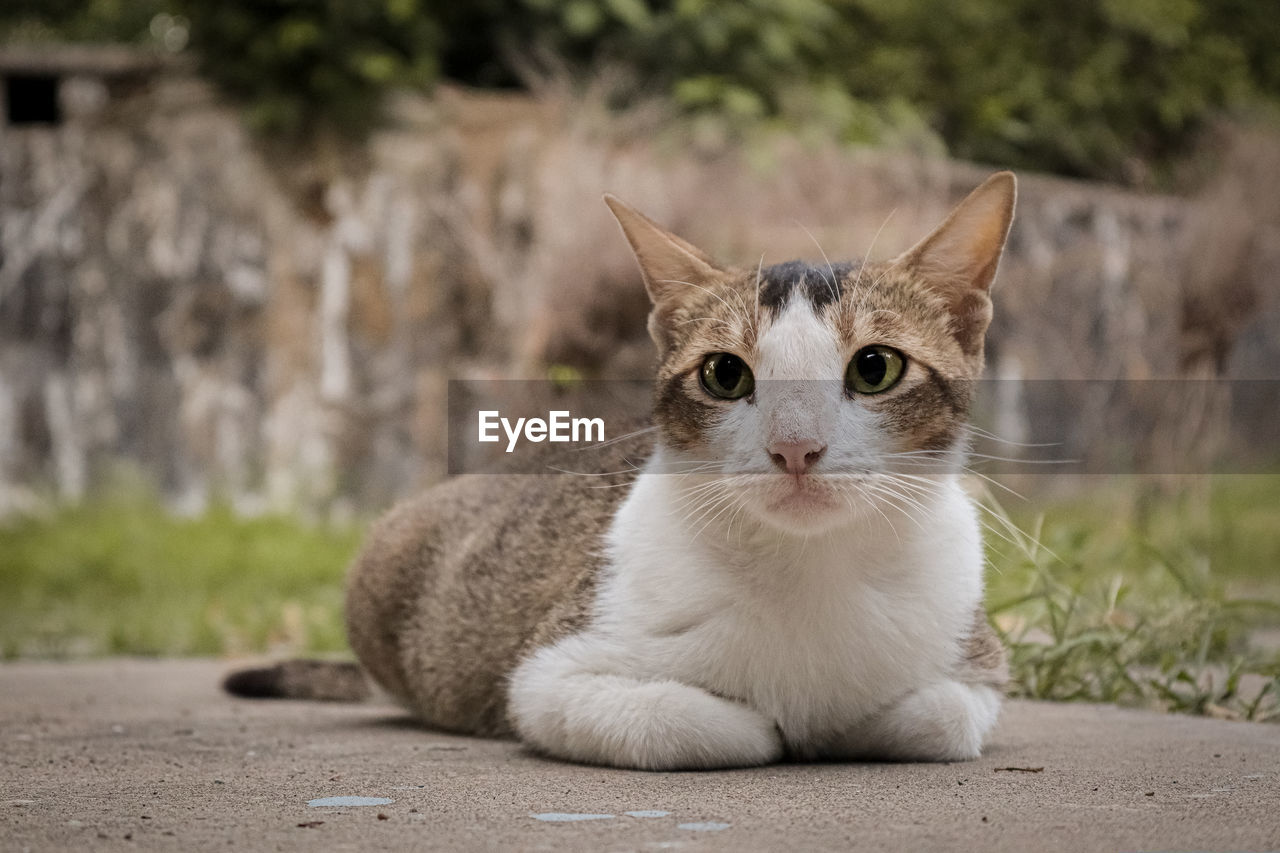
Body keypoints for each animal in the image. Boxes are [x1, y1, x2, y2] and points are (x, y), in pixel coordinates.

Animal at [225, 169, 1013, 768]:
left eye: (875, 367)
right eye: (725, 374)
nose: (795, 448)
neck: (811, 567)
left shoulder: (978, 667)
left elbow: (939, 717)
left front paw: (841, 723)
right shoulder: (550, 677)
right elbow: (694, 723)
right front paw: (773, 725)